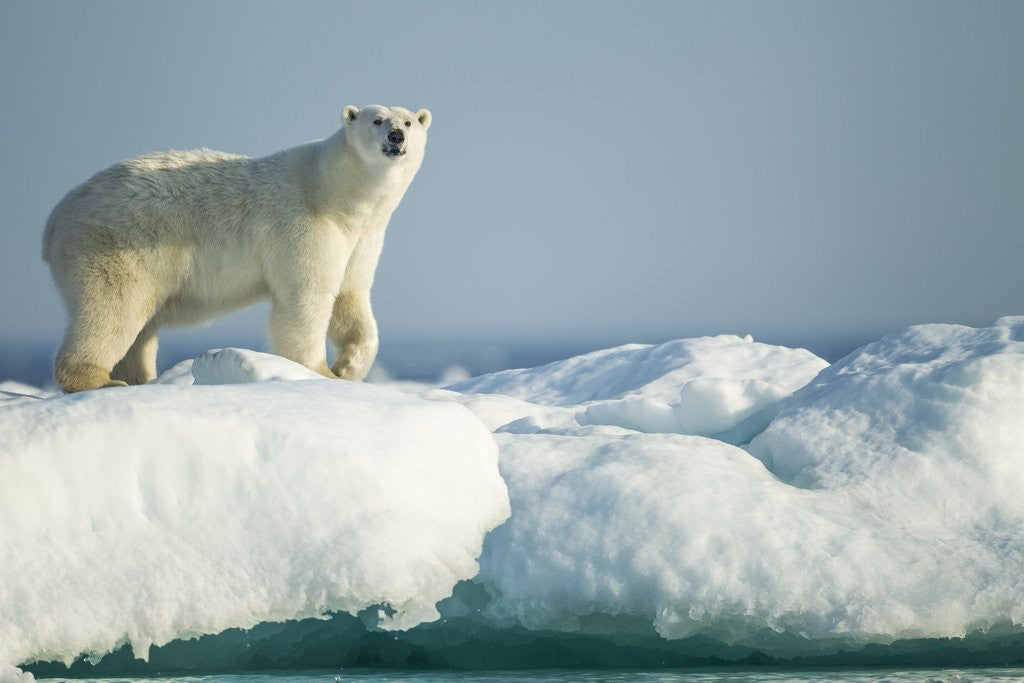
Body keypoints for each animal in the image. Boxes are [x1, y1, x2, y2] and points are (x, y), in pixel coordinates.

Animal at [42, 104, 431, 393]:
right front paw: (319, 373)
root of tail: (56, 220)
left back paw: (140, 377)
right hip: (118, 245)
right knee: (113, 308)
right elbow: (307, 297)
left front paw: (347, 367)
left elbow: (351, 296)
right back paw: (100, 380)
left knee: (139, 326)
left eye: (409, 121)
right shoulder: (306, 224)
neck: (333, 192)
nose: (396, 136)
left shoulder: (362, 238)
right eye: (376, 119)